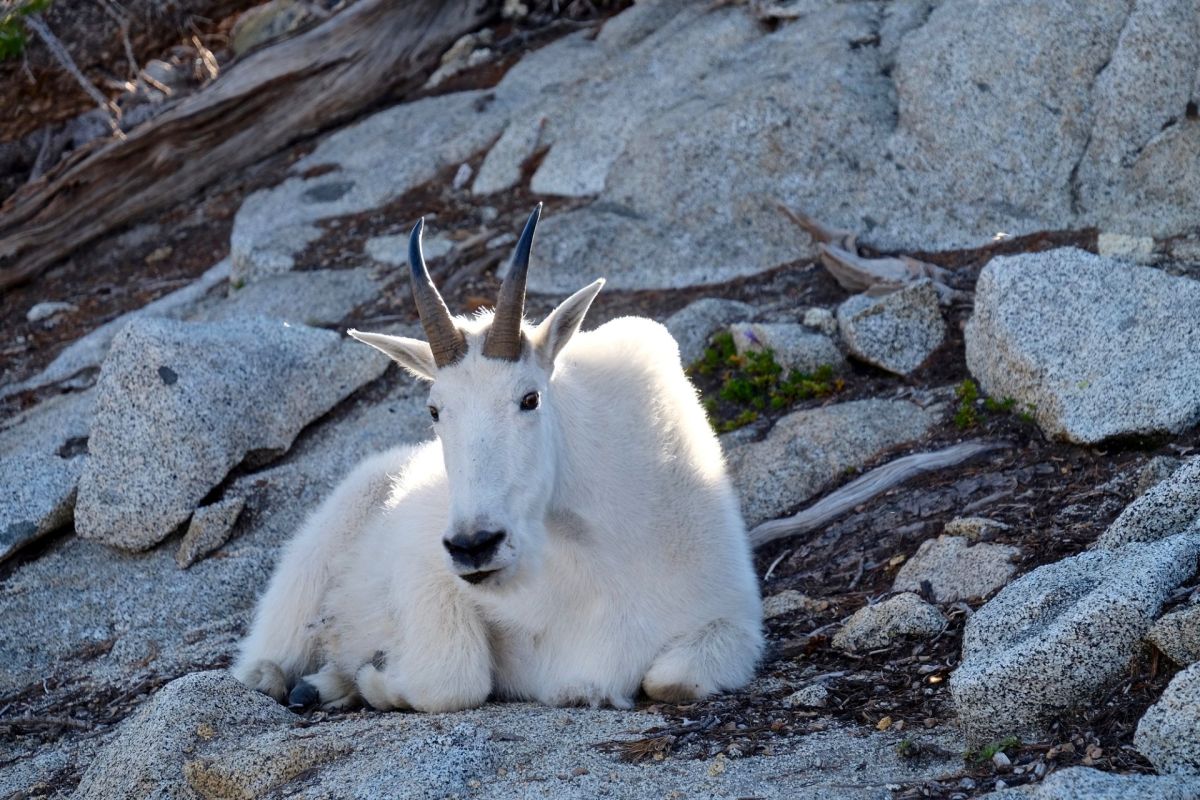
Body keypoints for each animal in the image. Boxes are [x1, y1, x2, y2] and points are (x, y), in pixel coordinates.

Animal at [232, 205, 763, 711]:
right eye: (434, 409)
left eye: (530, 398)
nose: (474, 546)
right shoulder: (426, 567)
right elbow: (454, 679)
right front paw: (376, 681)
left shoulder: (730, 617)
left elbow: (672, 679)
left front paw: (365, 680)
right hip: (323, 545)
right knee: (267, 657)